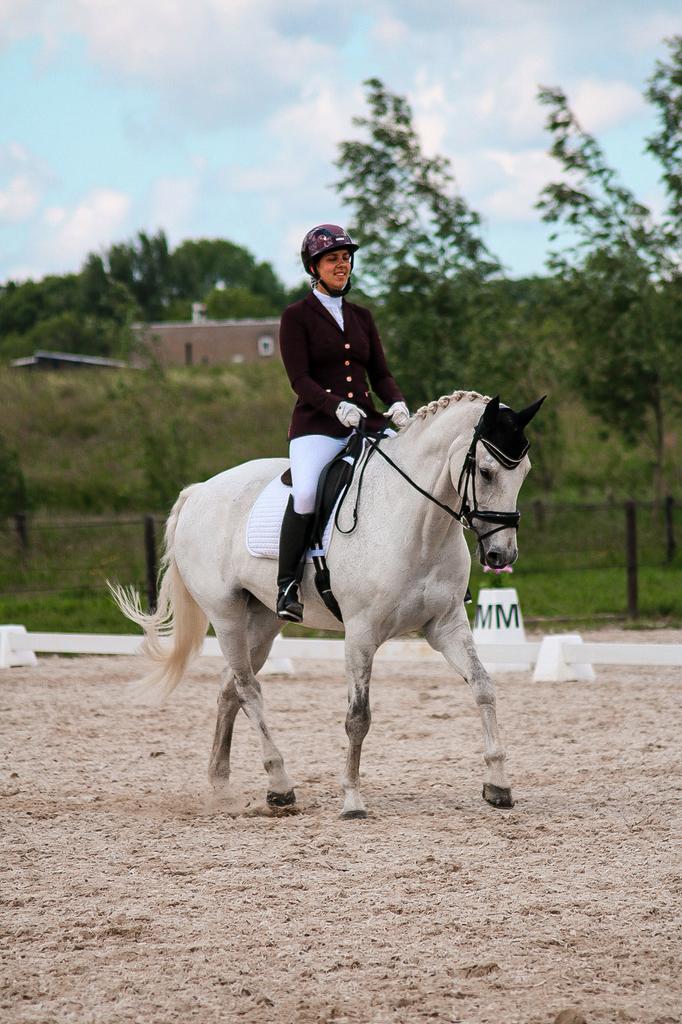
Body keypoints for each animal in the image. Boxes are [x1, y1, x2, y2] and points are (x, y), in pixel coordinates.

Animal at [112, 390, 544, 819]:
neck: (419, 524)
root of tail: (199, 490)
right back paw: (281, 786)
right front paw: (352, 799)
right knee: (248, 689)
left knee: (229, 686)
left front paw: (498, 785)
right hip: (226, 613)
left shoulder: (446, 625)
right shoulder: (360, 632)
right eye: (486, 471)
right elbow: (358, 717)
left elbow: (483, 686)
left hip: (263, 620)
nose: (501, 556)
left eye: (524, 472)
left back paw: (223, 785)